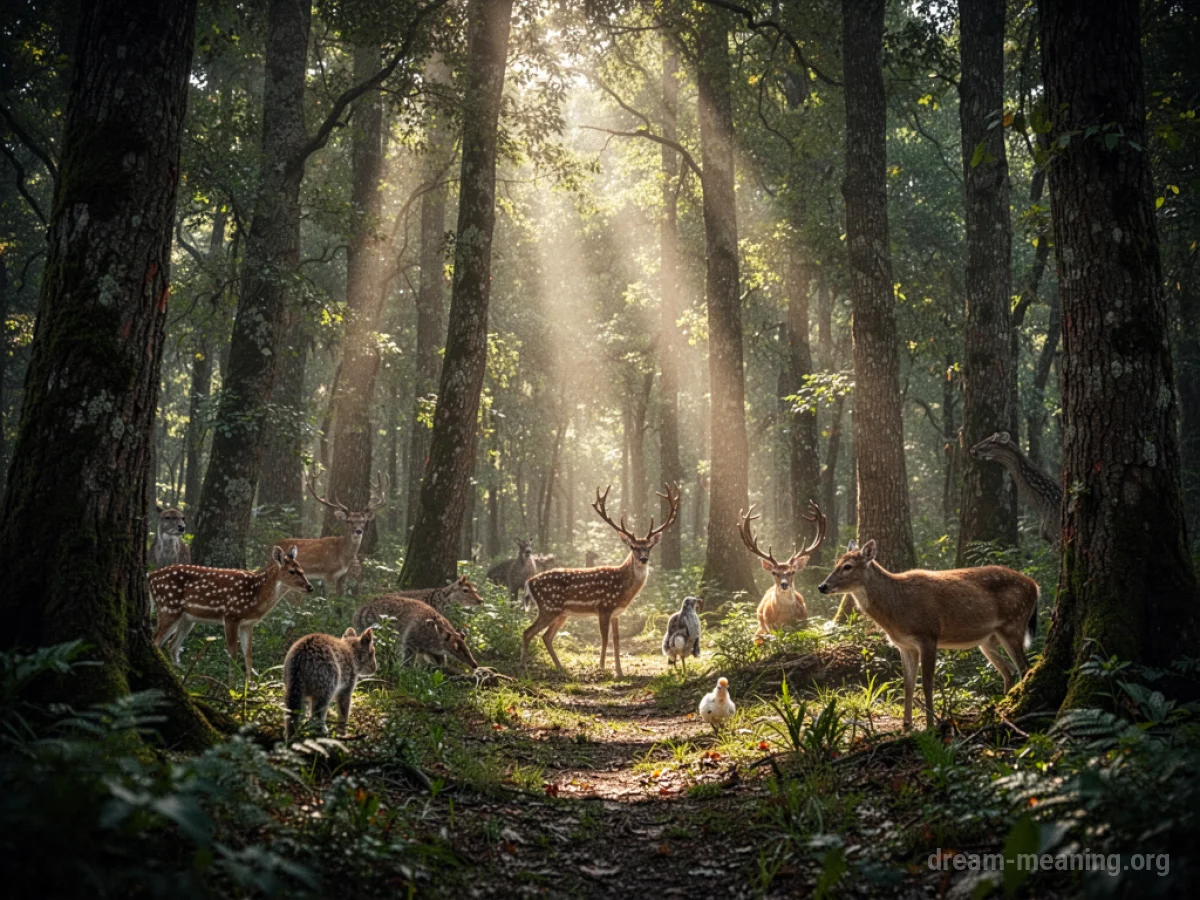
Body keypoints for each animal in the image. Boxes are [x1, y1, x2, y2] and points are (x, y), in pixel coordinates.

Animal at [150, 545, 314, 678]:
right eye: (292, 571)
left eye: (303, 570)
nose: (310, 587)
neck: (256, 597)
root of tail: (150, 576)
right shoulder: (231, 616)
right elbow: (233, 654)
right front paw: (231, 686)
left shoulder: (247, 624)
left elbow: (248, 656)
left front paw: (249, 687)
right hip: (168, 607)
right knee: (156, 641)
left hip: (187, 618)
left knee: (172, 644)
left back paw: (180, 674)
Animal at [521, 483, 680, 678]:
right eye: (633, 546)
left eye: (649, 547)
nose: (643, 559)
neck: (623, 589)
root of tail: (529, 583)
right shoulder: (604, 606)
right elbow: (604, 638)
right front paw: (602, 668)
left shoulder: (616, 612)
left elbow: (617, 639)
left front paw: (619, 672)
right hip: (548, 607)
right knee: (528, 632)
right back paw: (523, 667)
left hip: (561, 613)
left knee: (546, 636)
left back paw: (561, 668)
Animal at [738, 500, 826, 636]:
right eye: (774, 572)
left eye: (792, 572)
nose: (784, 584)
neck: (785, 620)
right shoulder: (770, 628)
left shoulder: (803, 624)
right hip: (761, 627)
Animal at [817, 539, 1039, 730]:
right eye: (836, 563)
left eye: (848, 566)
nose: (822, 586)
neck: (897, 610)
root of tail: (1035, 586)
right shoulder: (904, 645)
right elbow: (907, 684)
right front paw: (906, 724)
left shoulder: (928, 635)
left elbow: (926, 682)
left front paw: (930, 724)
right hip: (988, 640)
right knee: (1009, 670)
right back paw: (1001, 706)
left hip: (1014, 624)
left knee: (1025, 667)